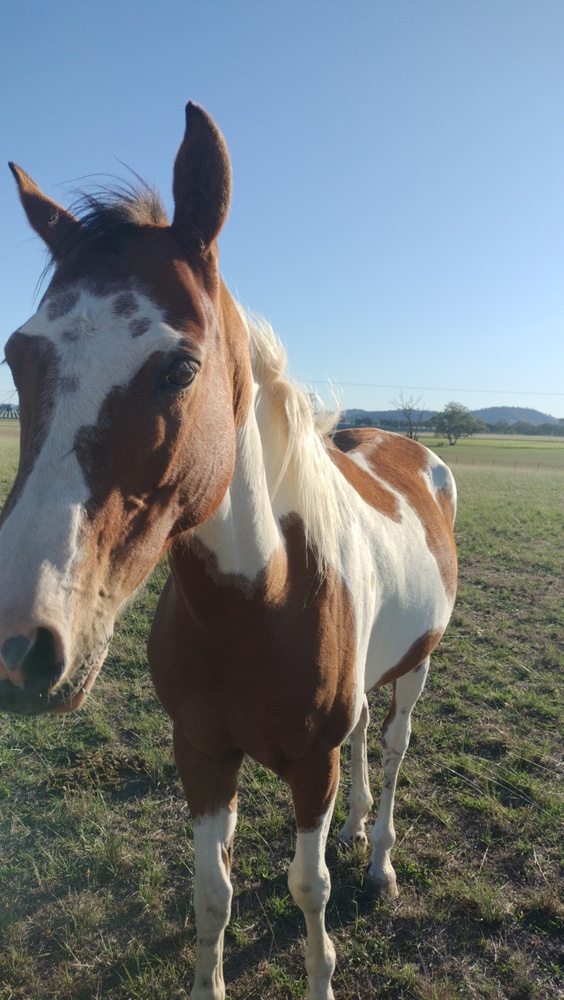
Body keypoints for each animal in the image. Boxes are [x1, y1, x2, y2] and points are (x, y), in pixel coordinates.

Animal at [0, 102, 457, 1000]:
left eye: (181, 368)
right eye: (16, 355)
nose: (17, 648)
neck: (263, 599)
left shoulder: (309, 768)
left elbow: (307, 888)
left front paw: (321, 971)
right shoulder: (203, 753)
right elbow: (212, 893)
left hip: (414, 670)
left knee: (388, 753)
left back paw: (379, 858)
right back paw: (358, 832)